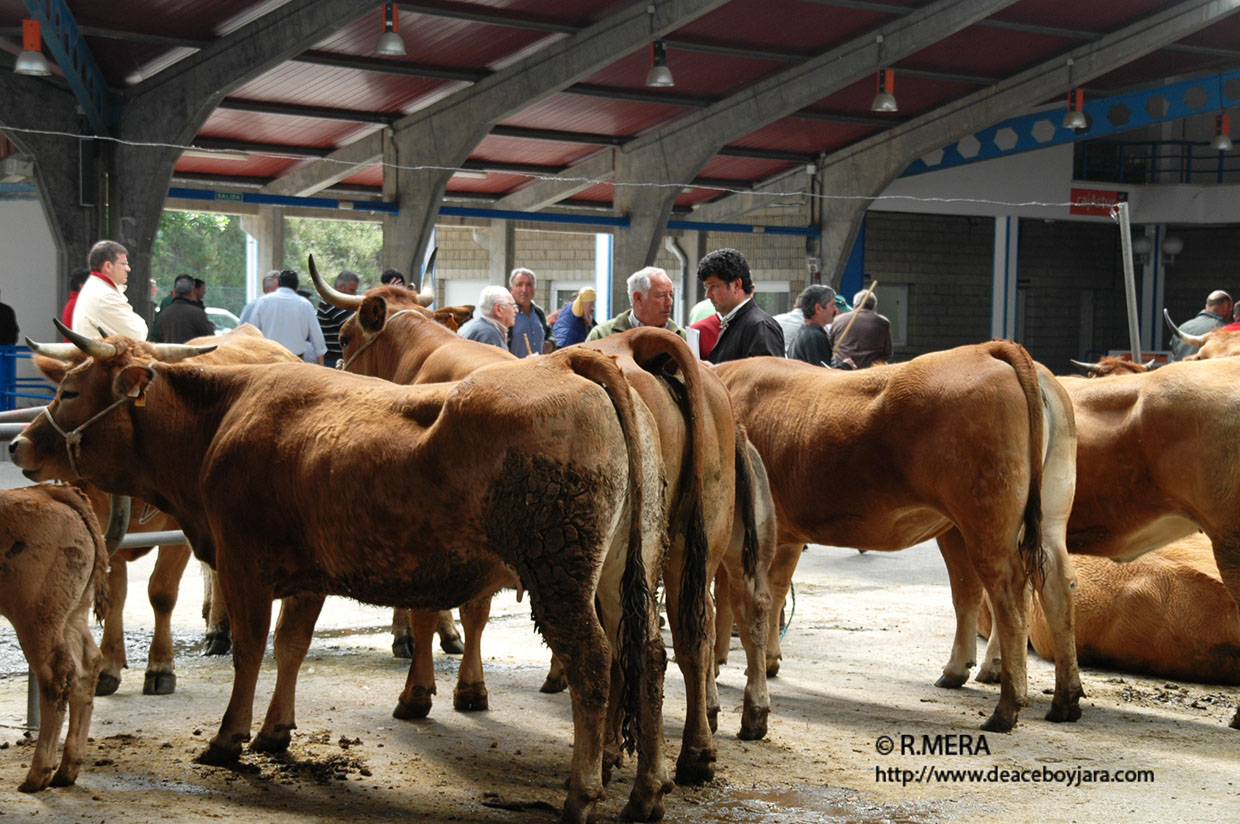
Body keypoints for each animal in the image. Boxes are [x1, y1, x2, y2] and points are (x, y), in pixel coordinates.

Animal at [0, 483, 107, 793]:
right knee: (87, 664)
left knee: (57, 676)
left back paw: (37, 775)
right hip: (72, 613)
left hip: (35, 618)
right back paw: (67, 771)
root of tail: (44, 491)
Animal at [719, 341, 1086, 733]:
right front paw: (770, 659)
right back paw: (1063, 699)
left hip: (987, 527)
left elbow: (734, 598)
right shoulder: (786, 535)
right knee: (1052, 587)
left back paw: (1006, 709)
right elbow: (775, 590)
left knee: (1008, 598)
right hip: (1046, 519)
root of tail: (988, 348)